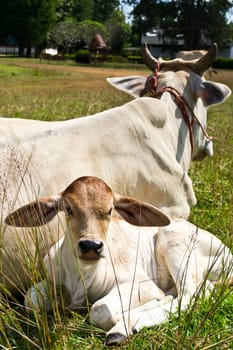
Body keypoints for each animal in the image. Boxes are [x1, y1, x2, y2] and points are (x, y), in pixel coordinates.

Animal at [5, 176, 233, 346]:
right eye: (68, 209)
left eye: (109, 210)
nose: (90, 246)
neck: (83, 277)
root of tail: (227, 253)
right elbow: (30, 300)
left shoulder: (141, 284)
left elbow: (100, 310)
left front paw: (122, 319)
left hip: (173, 245)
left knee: (190, 296)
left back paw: (122, 329)